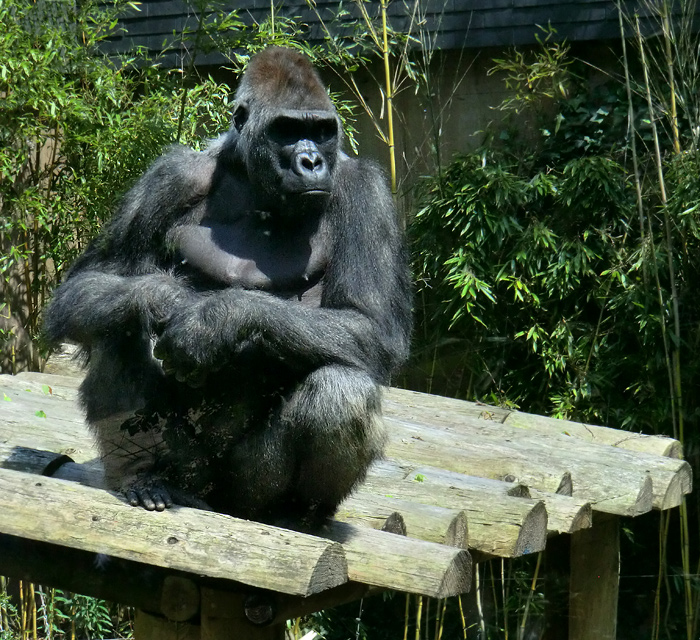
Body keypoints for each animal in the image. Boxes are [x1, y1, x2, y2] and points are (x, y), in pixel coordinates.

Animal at [43, 46, 412, 528]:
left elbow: (370, 324)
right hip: (191, 473)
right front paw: (164, 297)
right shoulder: (170, 175)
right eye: (287, 130)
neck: (251, 175)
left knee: (341, 391)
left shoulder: (366, 191)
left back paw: (295, 516)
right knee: (116, 321)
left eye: (321, 131)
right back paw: (145, 477)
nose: (312, 162)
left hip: (243, 494)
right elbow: (89, 282)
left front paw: (214, 319)